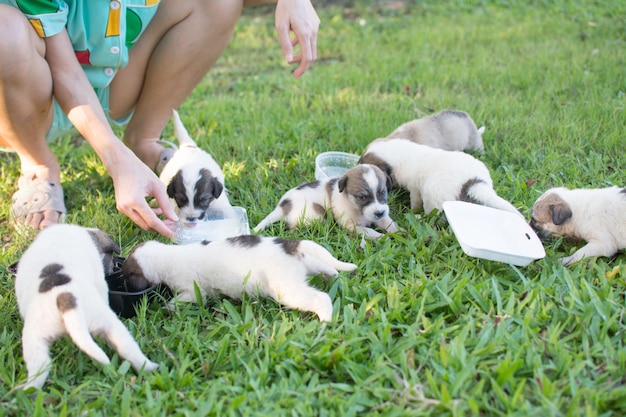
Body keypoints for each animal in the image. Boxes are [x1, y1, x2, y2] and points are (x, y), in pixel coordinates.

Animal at [14, 224, 157, 390]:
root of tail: (65, 299)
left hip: (35, 340)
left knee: (40, 370)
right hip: (107, 322)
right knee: (128, 349)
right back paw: (150, 368)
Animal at [122, 234, 356, 322]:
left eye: (126, 275)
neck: (167, 256)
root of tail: (288, 245)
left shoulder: (193, 292)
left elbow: (180, 300)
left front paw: (166, 308)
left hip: (288, 289)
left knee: (320, 299)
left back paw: (325, 320)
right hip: (306, 264)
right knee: (328, 267)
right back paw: (334, 277)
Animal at [252, 164, 394, 239]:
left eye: (383, 192)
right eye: (362, 197)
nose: (379, 213)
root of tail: (281, 206)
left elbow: (388, 222)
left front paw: (396, 232)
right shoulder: (350, 225)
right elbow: (368, 231)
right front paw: (381, 236)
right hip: (318, 213)